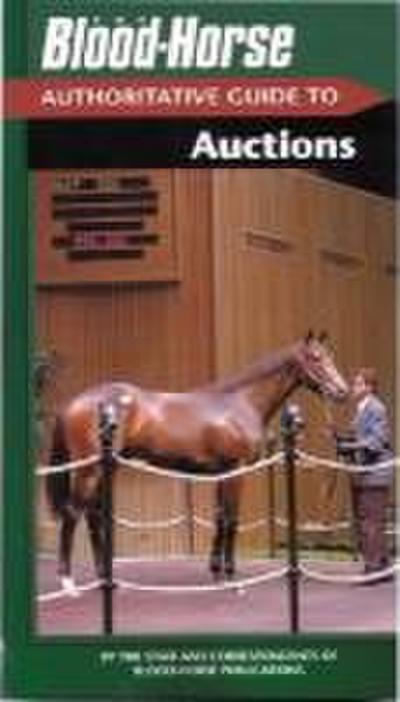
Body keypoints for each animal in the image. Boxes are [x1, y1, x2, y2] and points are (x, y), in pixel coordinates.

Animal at [45, 331, 348, 593]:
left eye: (330, 356)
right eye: (316, 358)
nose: (342, 392)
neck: (240, 403)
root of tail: (74, 404)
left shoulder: (221, 473)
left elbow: (219, 518)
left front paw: (216, 572)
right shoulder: (236, 471)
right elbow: (231, 520)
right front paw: (231, 577)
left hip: (104, 468)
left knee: (93, 515)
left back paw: (102, 577)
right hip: (89, 470)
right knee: (72, 514)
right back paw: (68, 582)